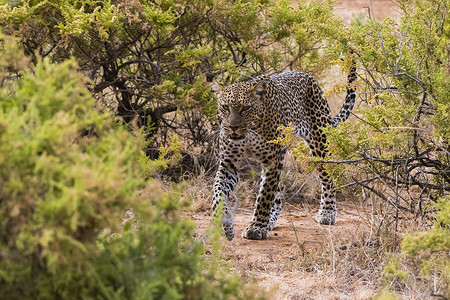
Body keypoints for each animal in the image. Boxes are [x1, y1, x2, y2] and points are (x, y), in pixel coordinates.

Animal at [210, 59, 356, 240]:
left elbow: (265, 196)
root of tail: (308, 76)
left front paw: (256, 227)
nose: (233, 127)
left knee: (327, 179)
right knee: (277, 197)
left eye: (245, 108)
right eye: (225, 107)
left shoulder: (273, 160)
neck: (250, 132)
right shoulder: (228, 164)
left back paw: (327, 212)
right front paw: (227, 226)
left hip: (319, 145)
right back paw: (270, 221)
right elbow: (217, 194)